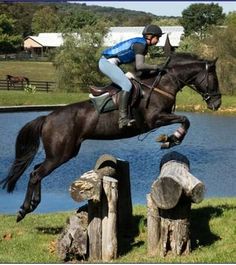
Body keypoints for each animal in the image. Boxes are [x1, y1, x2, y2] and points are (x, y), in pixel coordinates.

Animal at [0, 52, 221, 221]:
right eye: (214, 79)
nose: (217, 104)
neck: (163, 84)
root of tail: (47, 118)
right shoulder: (155, 119)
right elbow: (185, 119)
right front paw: (171, 139)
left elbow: (185, 120)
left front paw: (170, 139)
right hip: (60, 155)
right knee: (36, 174)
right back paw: (23, 210)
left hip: (61, 154)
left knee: (36, 170)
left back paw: (32, 205)